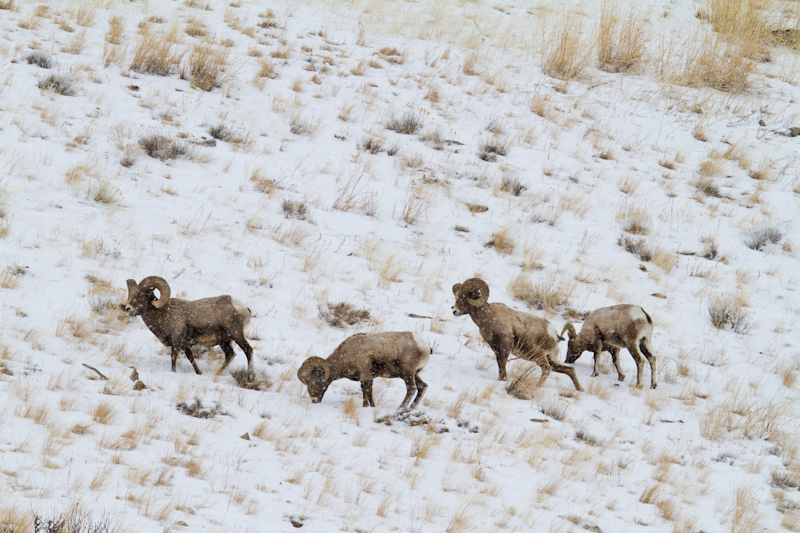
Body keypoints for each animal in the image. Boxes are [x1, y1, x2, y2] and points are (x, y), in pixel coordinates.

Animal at [121, 276, 253, 376]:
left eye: (142, 295)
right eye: (131, 294)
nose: (128, 308)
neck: (163, 315)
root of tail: (243, 308)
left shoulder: (176, 341)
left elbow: (174, 357)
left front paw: (173, 372)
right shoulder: (185, 346)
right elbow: (191, 358)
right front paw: (199, 373)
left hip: (236, 334)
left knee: (248, 350)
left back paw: (250, 376)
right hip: (224, 341)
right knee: (230, 355)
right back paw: (216, 374)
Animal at [296, 330, 432, 410]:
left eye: (314, 382)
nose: (314, 400)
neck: (346, 356)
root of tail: (424, 346)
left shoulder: (366, 376)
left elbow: (367, 392)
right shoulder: (365, 379)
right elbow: (366, 393)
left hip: (407, 373)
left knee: (412, 388)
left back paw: (401, 408)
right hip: (415, 374)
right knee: (423, 386)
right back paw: (412, 408)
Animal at [450, 278, 580, 390]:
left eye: (465, 297)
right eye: (456, 297)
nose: (454, 311)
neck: (487, 316)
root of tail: (553, 332)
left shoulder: (505, 344)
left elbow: (502, 362)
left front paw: (503, 379)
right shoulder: (495, 347)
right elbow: (499, 363)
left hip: (537, 353)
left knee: (547, 368)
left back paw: (537, 386)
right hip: (550, 357)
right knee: (569, 369)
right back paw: (580, 389)